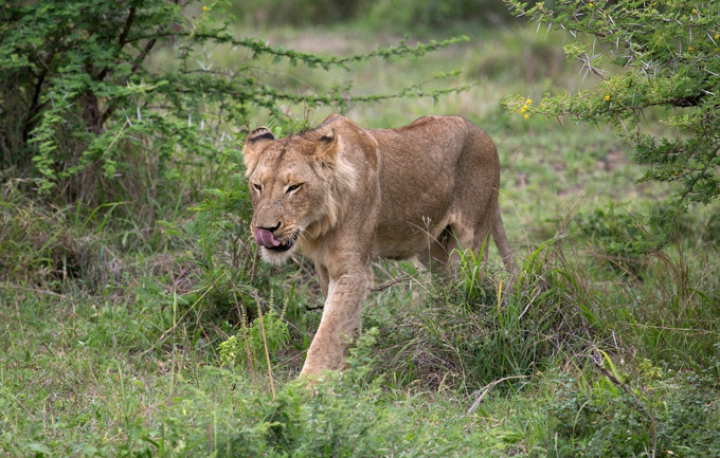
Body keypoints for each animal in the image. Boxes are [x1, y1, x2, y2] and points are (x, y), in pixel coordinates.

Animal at [245, 112, 516, 378]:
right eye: (257, 186)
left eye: (294, 187)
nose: (265, 230)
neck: (319, 223)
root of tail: (484, 134)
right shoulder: (323, 266)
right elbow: (345, 323)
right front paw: (345, 370)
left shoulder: (352, 270)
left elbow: (329, 330)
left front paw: (307, 384)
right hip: (432, 249)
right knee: (446, 286)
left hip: (472, 242)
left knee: (473, 287)